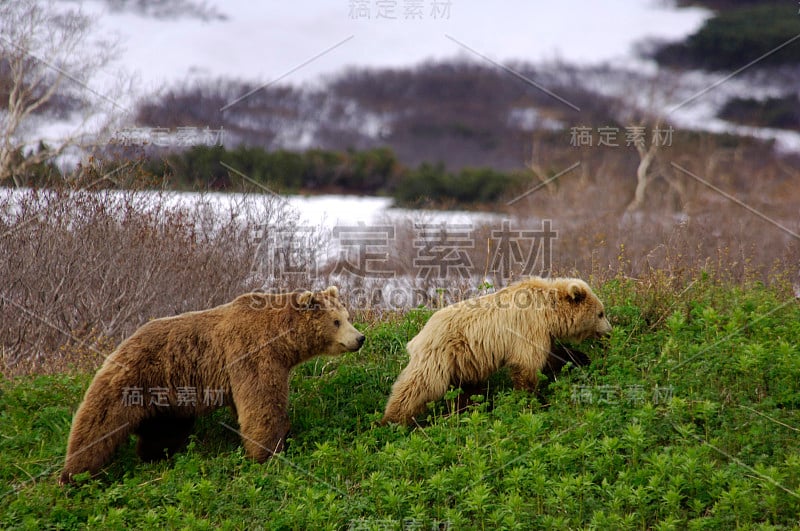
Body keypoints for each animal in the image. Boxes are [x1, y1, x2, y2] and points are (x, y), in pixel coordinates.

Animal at [57, 286, 364, 486]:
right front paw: (269, 452)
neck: (281, 340)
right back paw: (74, 474)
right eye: (336, 321)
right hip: (134, 379)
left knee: (164, 430)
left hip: (170, 396)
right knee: (99, 420)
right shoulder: (251, 353)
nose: (359, 338)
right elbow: (262, 404)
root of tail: (122, 343)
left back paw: (154, 456)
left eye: (348, 316)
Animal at [382, 278, 612, 424]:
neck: (549, 312)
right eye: (600, 314)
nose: (609, 332)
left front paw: (581, 358)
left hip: (464, 362)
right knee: (419, 386)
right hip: (439, 355)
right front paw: (534, 401)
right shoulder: (528, 328)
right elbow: (527, 366)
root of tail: (417, 337)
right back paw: (391, 421)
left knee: (466, 392)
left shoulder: (543, 334)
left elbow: (554, 356)